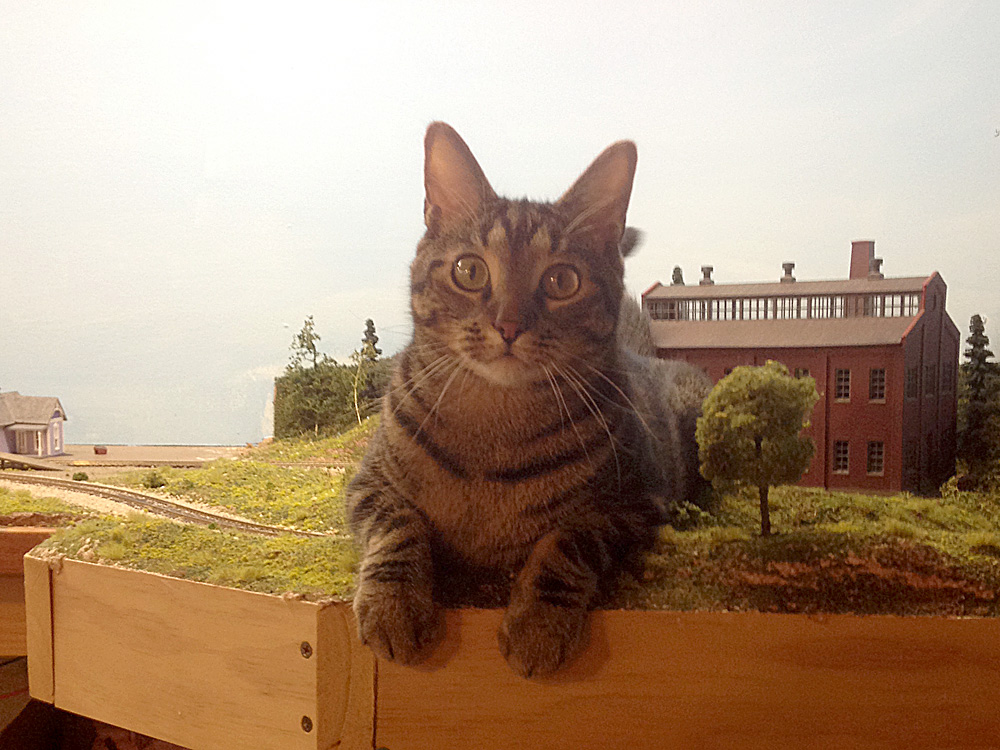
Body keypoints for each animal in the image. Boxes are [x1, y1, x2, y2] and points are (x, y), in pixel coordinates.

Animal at [348, 120, 708, 680]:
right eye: (469, 271)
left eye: (562, 280)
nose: (509, 325)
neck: (493, 421)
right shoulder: (367, 483)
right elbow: (396, 525)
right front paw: (393, 605)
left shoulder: (634, 507)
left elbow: (566, 542)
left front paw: (538, 626)